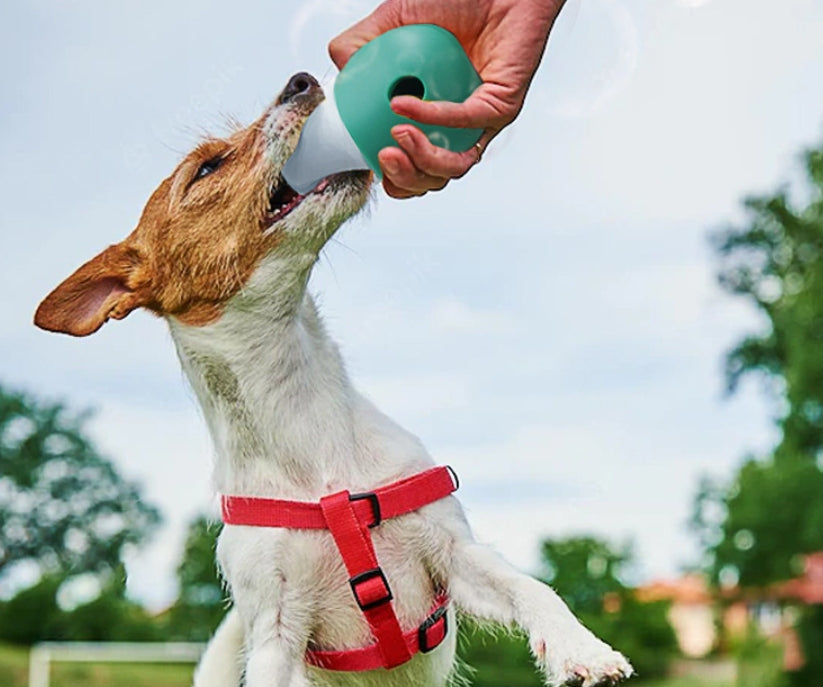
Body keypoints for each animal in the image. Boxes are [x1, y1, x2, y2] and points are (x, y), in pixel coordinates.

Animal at [35, 72, 636, 684]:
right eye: (205, 169)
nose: (301, 80)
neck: (305, 430)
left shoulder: (454, 555)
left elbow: (531, 588)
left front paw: (581, 648)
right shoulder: (274, 630)